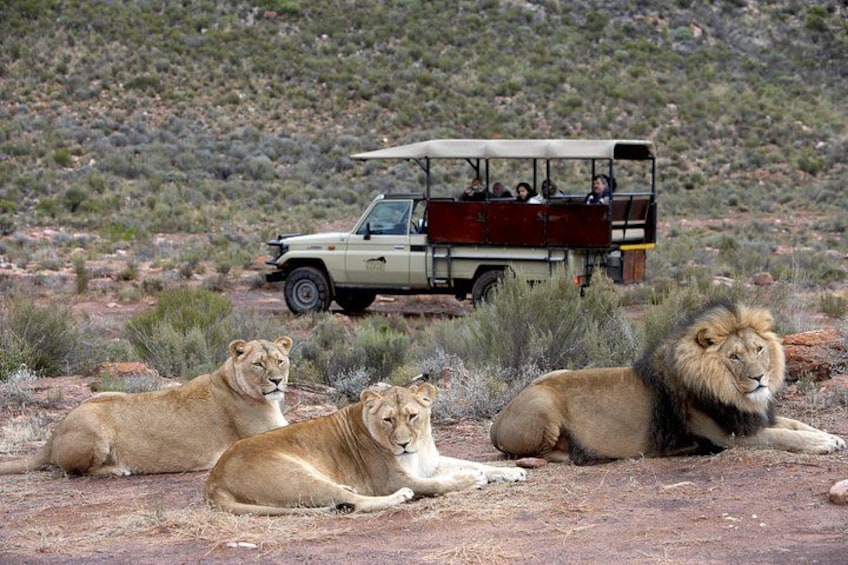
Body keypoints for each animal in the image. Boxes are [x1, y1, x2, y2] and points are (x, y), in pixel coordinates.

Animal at [0, 337, 293, 477]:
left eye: (280, 361)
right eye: (258, 364)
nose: (277, 381)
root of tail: (56, 430)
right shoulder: (263, 435)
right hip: (94, 428)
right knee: (74, 471)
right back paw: (118, 469)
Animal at [204, 383, 527, 515]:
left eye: (412, 415)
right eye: (388, 419)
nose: (403, 444)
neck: (419, 447)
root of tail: (213, 480)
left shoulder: (430, 463)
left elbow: (474, 462)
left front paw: (511, 472)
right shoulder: (392, 478)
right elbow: (439, 483)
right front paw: (470, 480)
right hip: (297, 476)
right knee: (353, 503)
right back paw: (398, 497)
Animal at [490, 302, 845, 464]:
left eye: (758, 349)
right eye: (734, 357)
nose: (759, 378)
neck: (735, 395)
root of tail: (498, 419)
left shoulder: (752, 418)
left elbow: (796, 424)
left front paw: (831, 436)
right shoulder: (728, 437)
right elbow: (783, 435)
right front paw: (822, 444)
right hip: (544, 407)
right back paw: (580, 454)